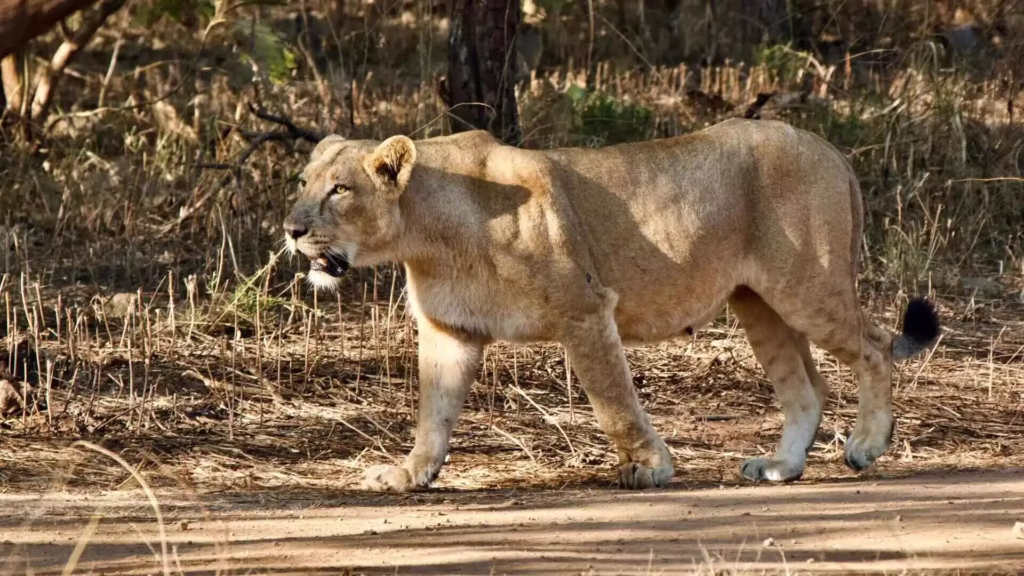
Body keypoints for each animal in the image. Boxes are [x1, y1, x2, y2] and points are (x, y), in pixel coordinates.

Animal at [283, 118, 940, 492]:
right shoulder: (451, 331)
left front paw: (650, 468)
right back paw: (782, 466)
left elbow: (613, 402)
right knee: (807, 387)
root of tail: (829, 149)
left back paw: (866, 445)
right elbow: (433, 416)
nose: (291, 230)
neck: (427, 233)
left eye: (339, 189)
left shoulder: (586, 310)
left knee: (875, 347)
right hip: (758, 303)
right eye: (302, 183)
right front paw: (410, 475)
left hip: (806, 286)